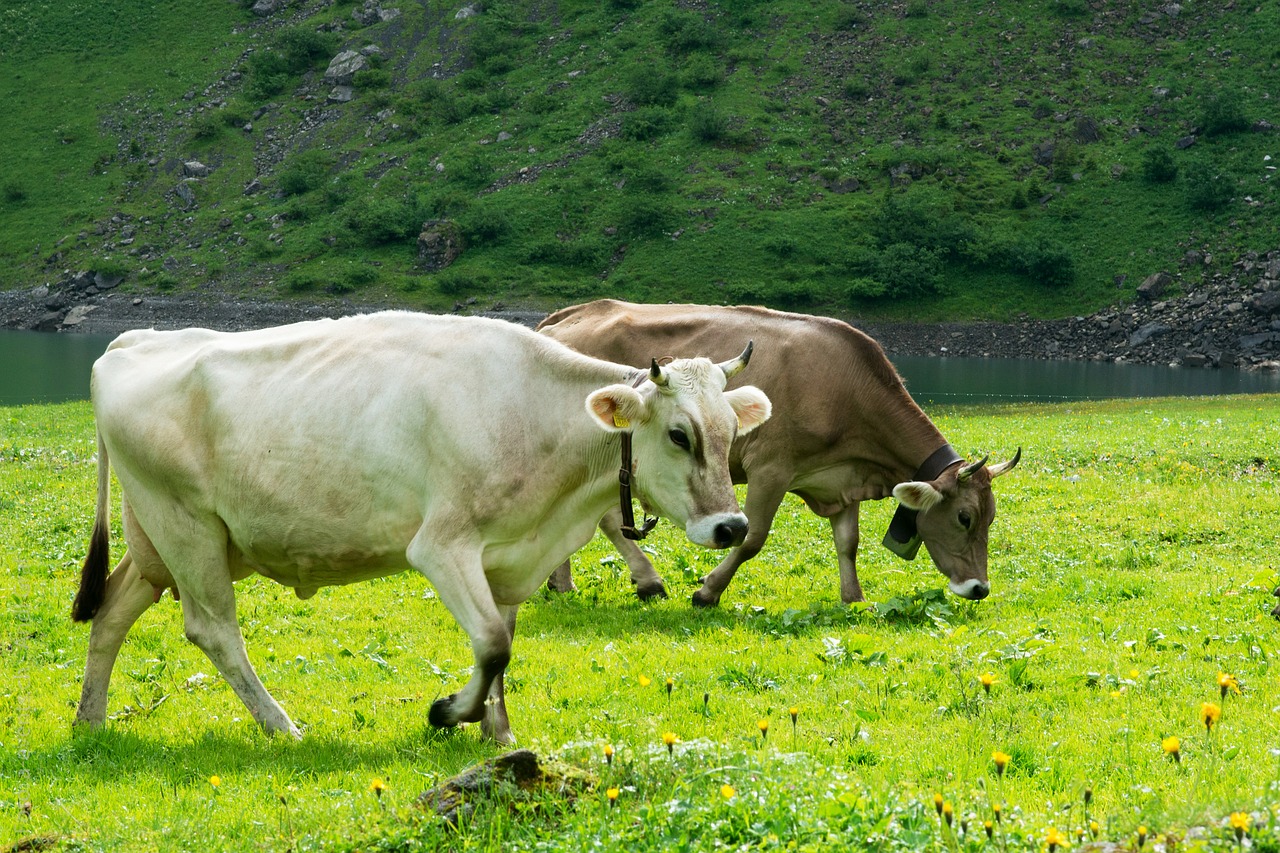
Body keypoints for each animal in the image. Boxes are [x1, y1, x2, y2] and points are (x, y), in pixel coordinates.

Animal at [70, 311, 768, 737]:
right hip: (185, 524)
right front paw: (449, 712)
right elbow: (493, 642)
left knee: (111, 609)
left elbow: (503, 646)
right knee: (213, 630)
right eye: (678, 434)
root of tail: (131, 342)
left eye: (731, 430)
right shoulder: (442, 545)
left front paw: (497, 732)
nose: (731, 526)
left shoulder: (508, 556)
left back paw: (89, 722)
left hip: (159, 539)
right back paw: (283, 727)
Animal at [540, 298, 1018, 604]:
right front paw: (707, 591)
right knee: (603, 518)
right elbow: (752, 537)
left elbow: (848, 542)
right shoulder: (771, 467)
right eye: (964, 517)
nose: (979, 589)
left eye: (990, 517)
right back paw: (646, 581)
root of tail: (566, 316)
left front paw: (853, 598)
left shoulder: (841, 478)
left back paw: (562, 584)